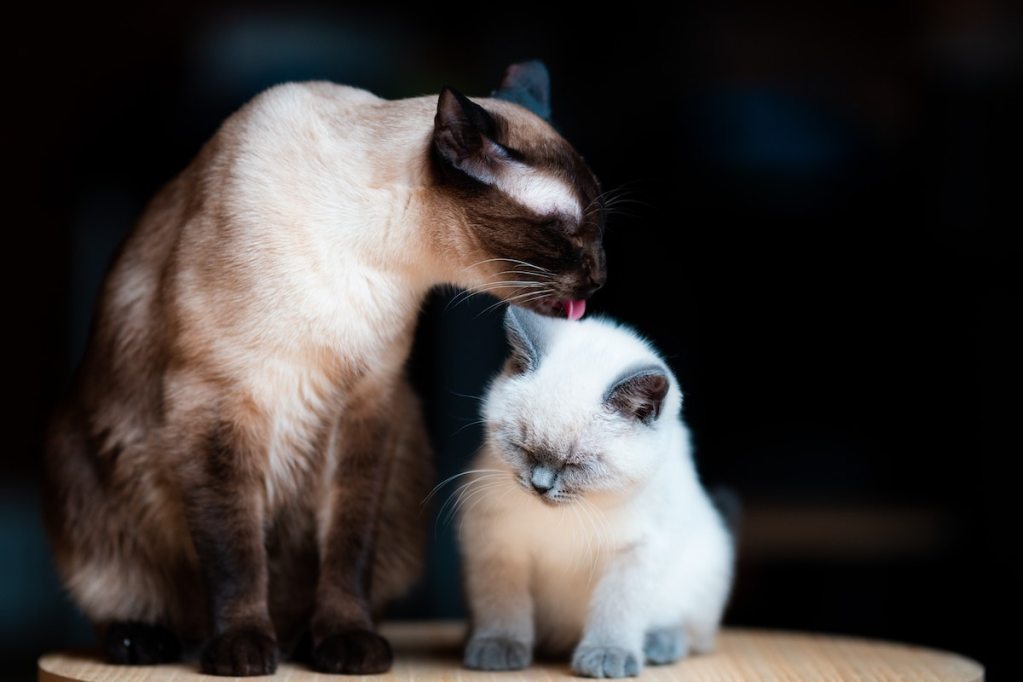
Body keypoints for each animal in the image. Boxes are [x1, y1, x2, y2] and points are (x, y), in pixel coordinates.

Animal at [48, 63, 601, 678]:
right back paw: (152, 641)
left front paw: (346, 643)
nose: (599, 276)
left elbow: (347, 548)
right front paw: (241, 648)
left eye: (600, 232)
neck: (374, 258)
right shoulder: (218, 405)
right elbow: (235, 552)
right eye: (569, 235)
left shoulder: (366, 409)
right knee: (137, 596)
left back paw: (301, 643)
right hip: (82, 477)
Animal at [460, 308, 732, 678]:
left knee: (691, 630)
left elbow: (616, 611)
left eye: (576, 463)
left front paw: (606, 656)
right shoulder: (498, 543)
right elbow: (503, 604)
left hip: (702, 566)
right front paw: (498, 648)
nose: (540, 485)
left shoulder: (634, 551)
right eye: (523, 448)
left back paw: (658, 645)